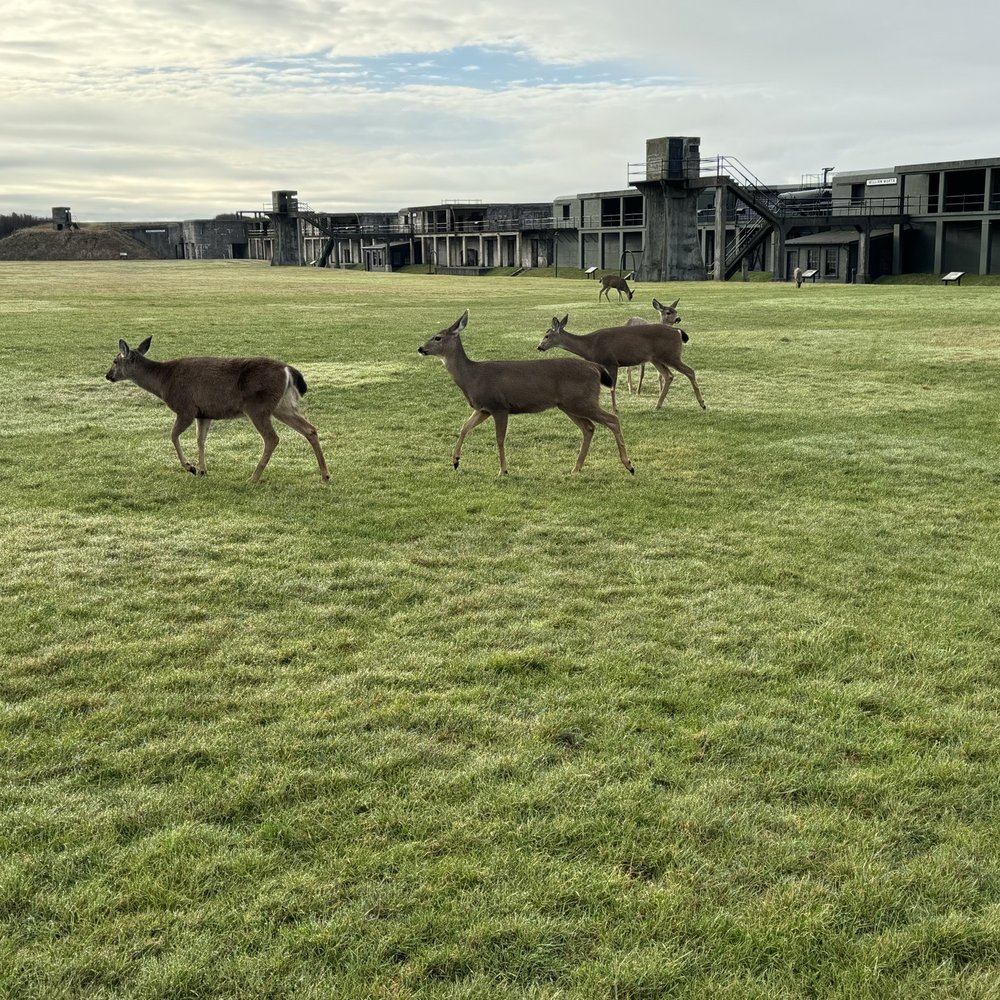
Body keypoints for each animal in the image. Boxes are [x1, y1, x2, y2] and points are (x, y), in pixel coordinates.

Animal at [105, 336, 330, 482]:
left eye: (115, 361)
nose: (108, 375)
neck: (163, 381)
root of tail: (287, 370)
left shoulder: (185, 408)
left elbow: (173, 435)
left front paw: (190, 467)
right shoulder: (204, 413)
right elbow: (200, 440)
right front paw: (203, 470)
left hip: (258, 406)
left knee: (272, 438)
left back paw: (253, 478)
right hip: (281, 406)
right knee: (310, 429)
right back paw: (325, 475)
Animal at [417, 310, 634, 475]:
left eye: (437, 337)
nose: (420, 348)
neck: (472, 377)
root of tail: (596, 368)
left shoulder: (499, 406)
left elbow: (499, 438)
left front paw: (503, 470)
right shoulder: (483, 408)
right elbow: (464, 427)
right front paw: (455, 461)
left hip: (582, 400)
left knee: (612, 419)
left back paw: (629, 465)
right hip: (569, 404)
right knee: (588, 427)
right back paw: (576, 468)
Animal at [537, 314, 705, 414]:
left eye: (547, 336)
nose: (539, 347)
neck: (590, 346)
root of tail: (678, 331)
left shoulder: (612, 361)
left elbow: (612, 387)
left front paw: (615, 409)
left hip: (671, 355)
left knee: (689, 371)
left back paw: (702, 403)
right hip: (656, 358)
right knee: (668, 375)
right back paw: (657, 405)